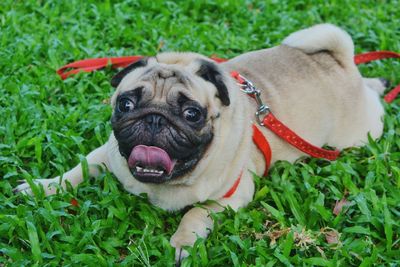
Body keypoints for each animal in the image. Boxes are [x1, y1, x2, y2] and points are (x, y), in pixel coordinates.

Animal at [14, 24, 384, 262]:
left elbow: (195, 213)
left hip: (357, 135)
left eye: (192, 113)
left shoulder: (233, 195)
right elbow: (76, 171)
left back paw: (378, 85)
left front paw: (182, 243)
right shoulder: (106, 154)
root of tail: (338, 61)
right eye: (126, 104)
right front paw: (43, 187)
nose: (155, 118)